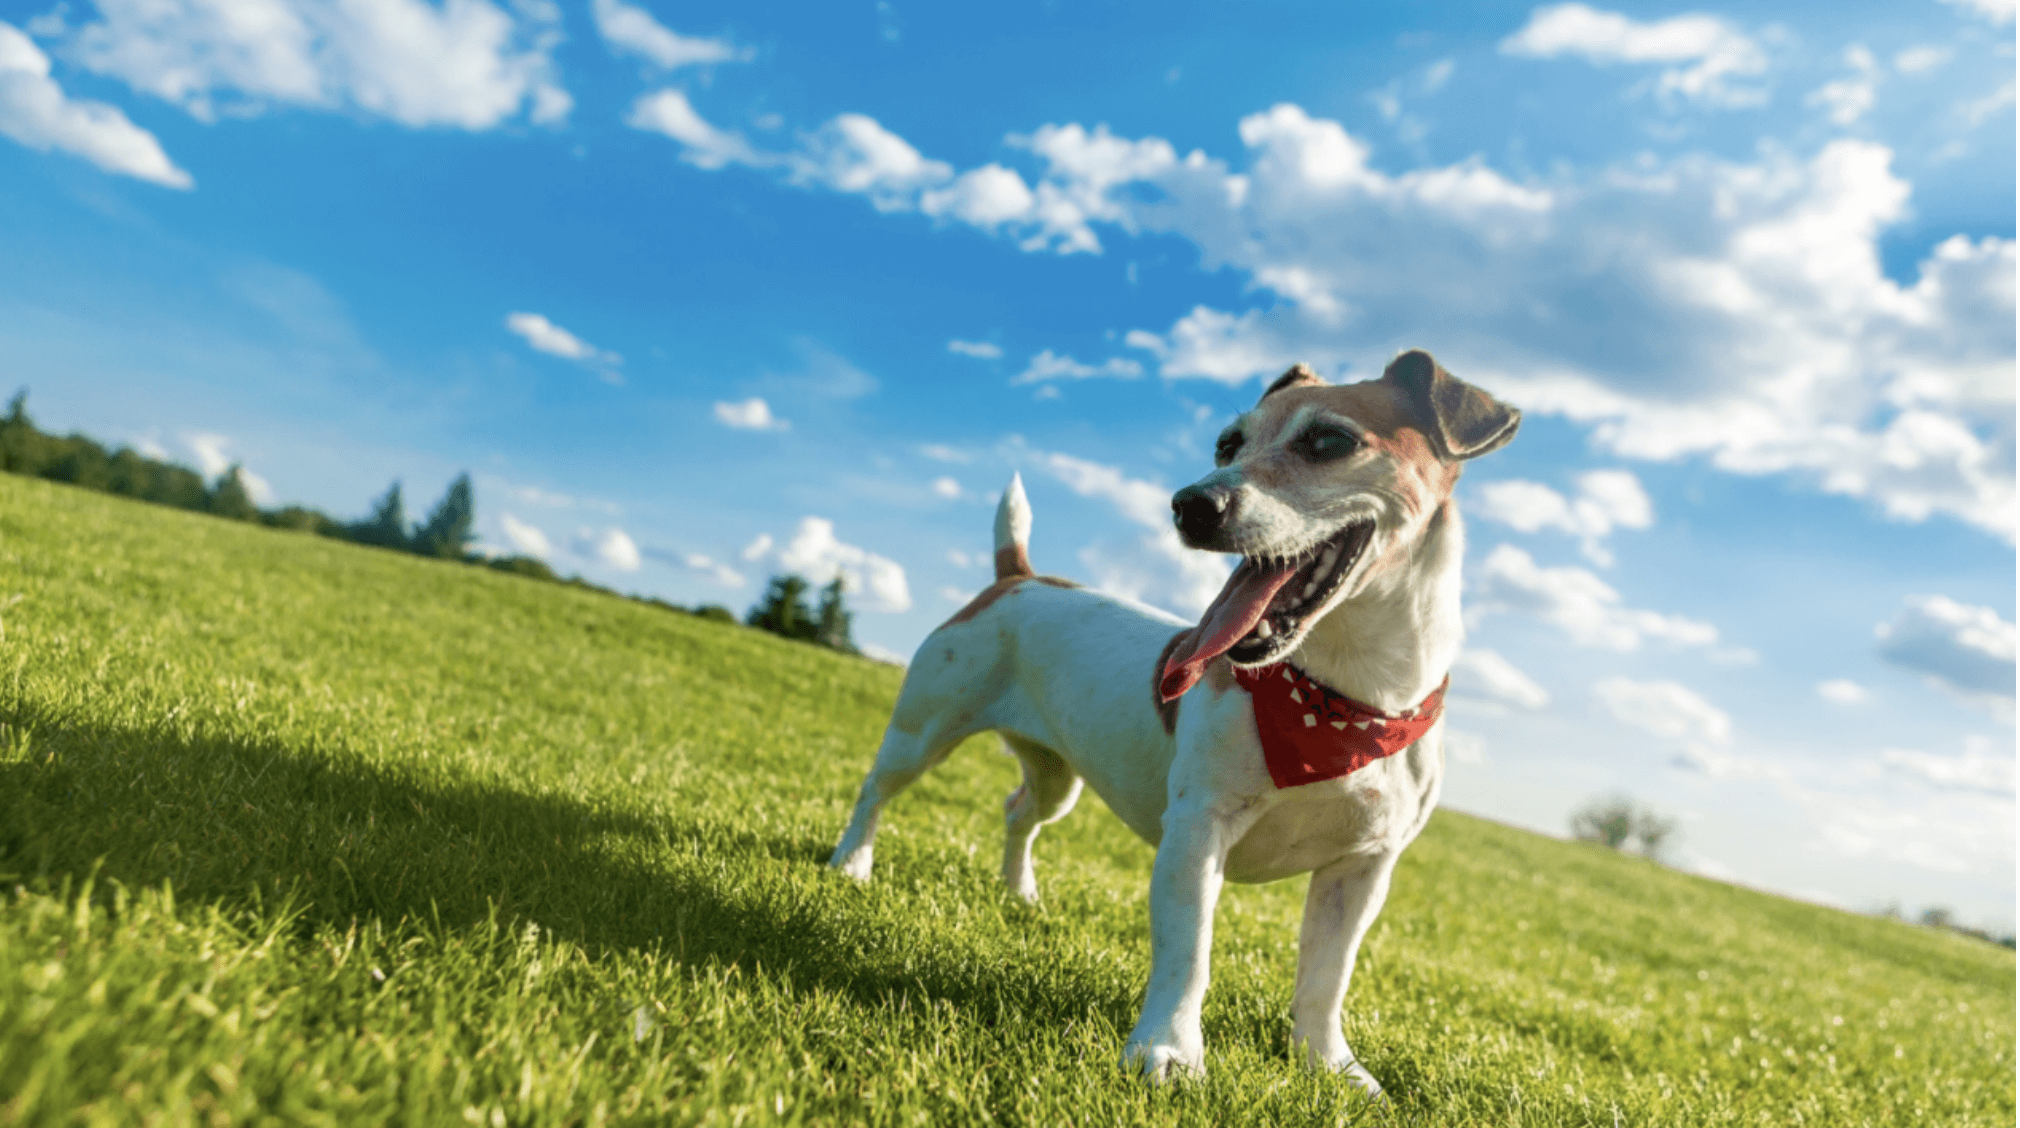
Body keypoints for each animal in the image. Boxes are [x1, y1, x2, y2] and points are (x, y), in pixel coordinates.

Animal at [824, 351, 1519, 1099]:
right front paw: (1169, 1052)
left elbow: (1327, 978)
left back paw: (1020, 893)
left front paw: (1331, 1067)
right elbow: (1190, 950)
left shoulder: (1364, 866)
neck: (1341, 701)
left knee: (1018, 810)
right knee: (876, 790)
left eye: (1328, 440)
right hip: (924, 728)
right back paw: (851, 863)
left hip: (1056, 776)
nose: (1191, 504)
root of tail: (1019, 577)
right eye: (1226, 444)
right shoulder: (1197, 829)